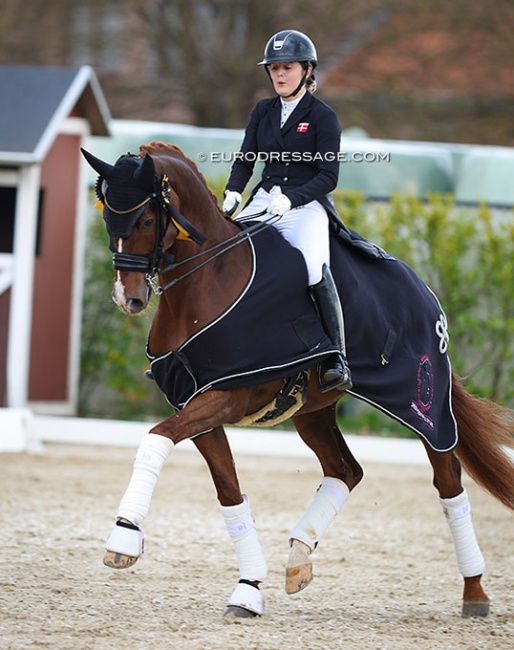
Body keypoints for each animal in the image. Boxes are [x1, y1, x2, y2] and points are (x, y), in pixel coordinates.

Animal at [80, 140, 512, 616]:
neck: (207, 280)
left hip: (422, 404)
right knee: (346, 470)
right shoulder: (196, 406)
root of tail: (421, 289)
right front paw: (248, 589)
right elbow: (229, 492)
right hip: (313, 412)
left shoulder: (225, 398)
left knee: (448, 479)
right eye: (108, 216)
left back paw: (475, 592)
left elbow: (156, 439)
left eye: (146, 219)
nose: (129, 298)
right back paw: (298, 558)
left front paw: (123, 537)